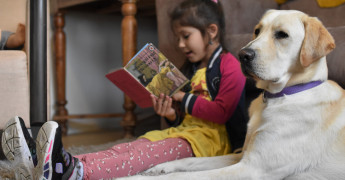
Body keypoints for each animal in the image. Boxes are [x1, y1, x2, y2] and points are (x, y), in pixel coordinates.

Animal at [121, 9, 344, 180]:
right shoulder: (241, 156)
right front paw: (160, 167)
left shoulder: (252, 168)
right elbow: (191, 161)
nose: (242, 55)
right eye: (257, 31)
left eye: (282, 34)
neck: (280, 96)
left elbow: (184, 176)